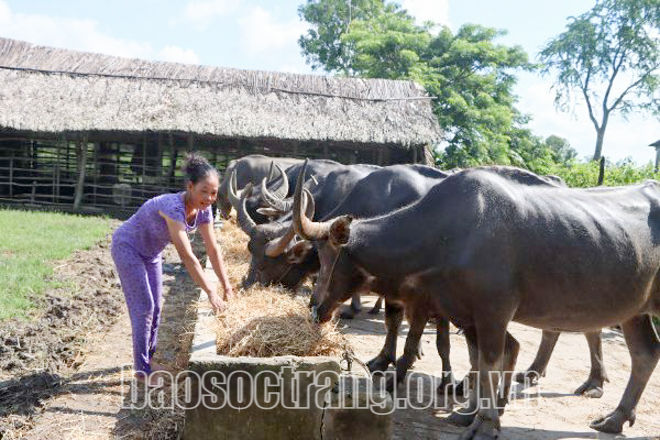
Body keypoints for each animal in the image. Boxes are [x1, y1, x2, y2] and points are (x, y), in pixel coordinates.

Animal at [296, 165, 660, 436]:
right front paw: (468, 412)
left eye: (326, 257)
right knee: (645, 353)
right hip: (635, 312)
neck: (447, 234)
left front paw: (485, 424)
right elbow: (477, 360)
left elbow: (487, 362)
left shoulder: (493, 312)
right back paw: (614, 419)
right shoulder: (464, 313)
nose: (315, 308)